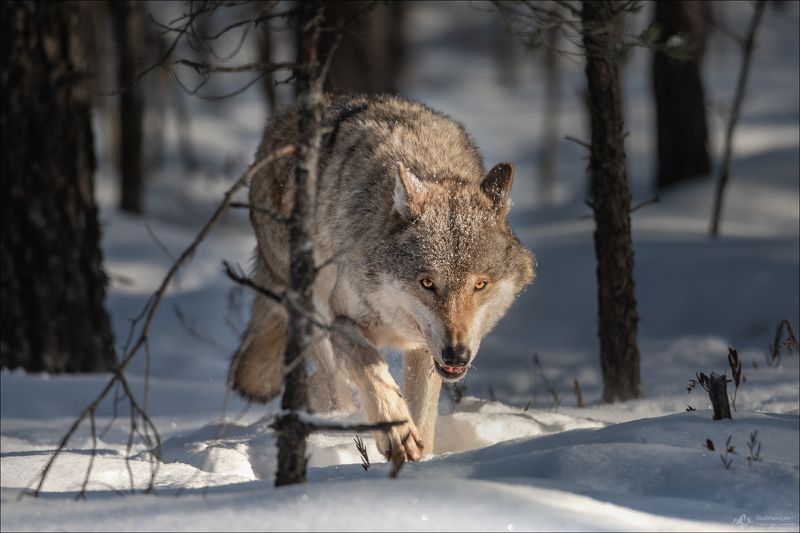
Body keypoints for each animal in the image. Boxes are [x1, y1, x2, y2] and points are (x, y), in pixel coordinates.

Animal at [230, 94, 535, 463]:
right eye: (427, 283)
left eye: (480, 285)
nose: (457, 356)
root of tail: (282, 118)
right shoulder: (342, 321)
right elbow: (370, 368)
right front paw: (396, 434)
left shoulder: (424, 350)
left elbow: (423, 416)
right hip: (311, 315)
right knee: (334, 384)